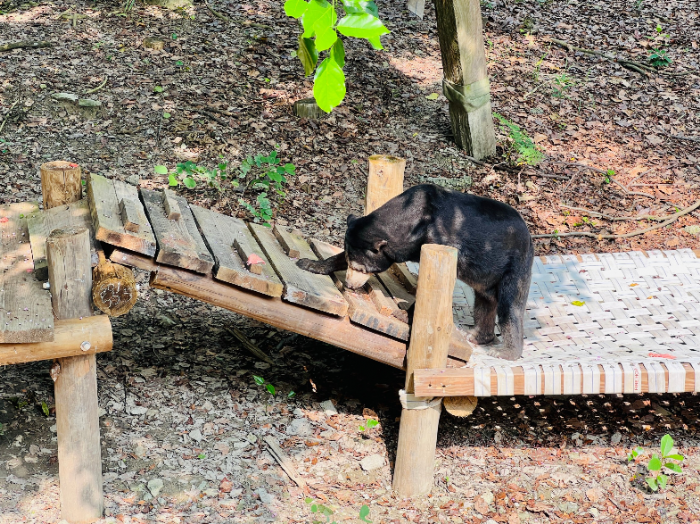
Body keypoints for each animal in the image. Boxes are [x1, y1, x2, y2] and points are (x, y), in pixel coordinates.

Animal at [296, 183, 532, 360]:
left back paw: (504, 352)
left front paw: (402, 313)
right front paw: (309, 263)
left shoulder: (440, 241)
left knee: (509, 308)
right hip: (487, 277)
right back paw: (476, 335)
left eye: (361, 268)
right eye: (350, 263)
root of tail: (530, 237)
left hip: (514, 267)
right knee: (484, 302)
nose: (350, 285)